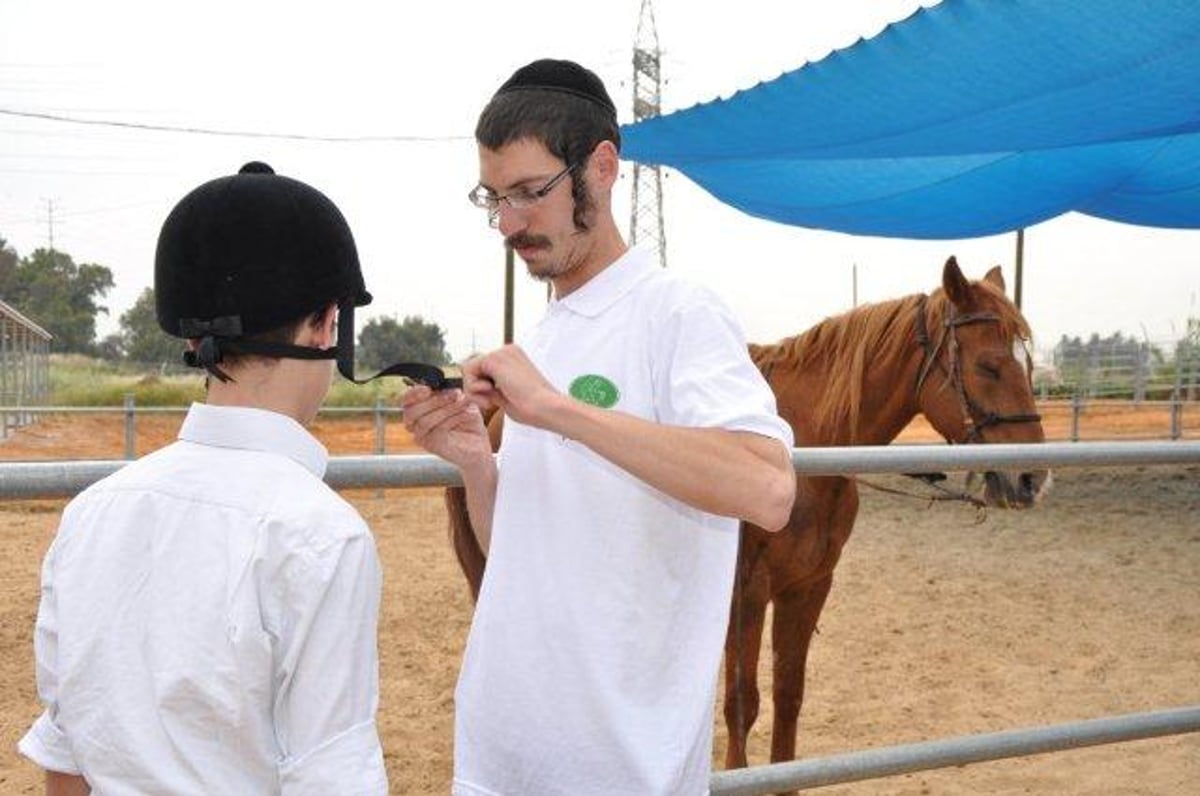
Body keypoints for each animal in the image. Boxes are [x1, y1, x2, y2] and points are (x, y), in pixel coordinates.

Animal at [441, 258, 1051, 782]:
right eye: (988, 365)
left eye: (1026, 363)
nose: (1032, 479)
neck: (801, 452)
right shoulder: (748, 592)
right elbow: (743, 702)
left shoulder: (809, 586)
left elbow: (788, 695)